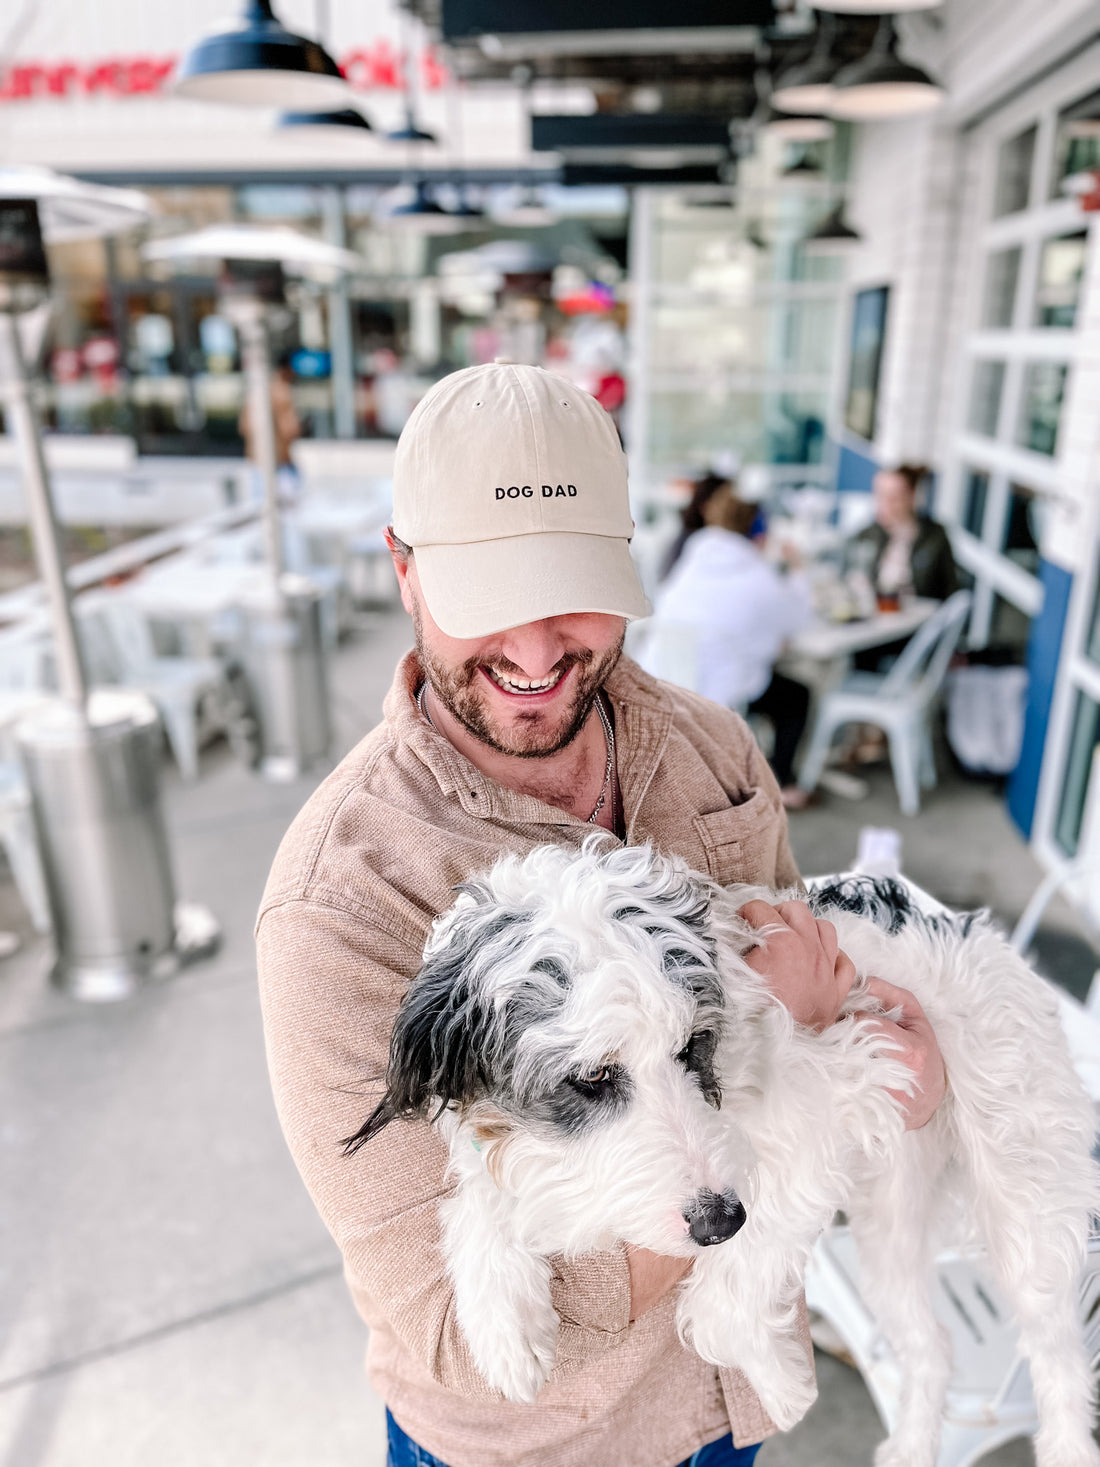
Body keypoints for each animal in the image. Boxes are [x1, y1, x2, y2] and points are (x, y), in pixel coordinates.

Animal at [346, 839, 1100, 1467]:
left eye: (692, 1046)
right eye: (591, 1076)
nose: (717, 1224)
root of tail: (975, 929)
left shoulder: (841, 1093)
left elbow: (721, 1305)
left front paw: (784, 1380)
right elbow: (481, 1200)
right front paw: (505, 1326)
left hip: (1020, 1197)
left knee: (1057, 1346)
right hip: (893, 1222)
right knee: (930, 1347)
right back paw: (912, 1447)